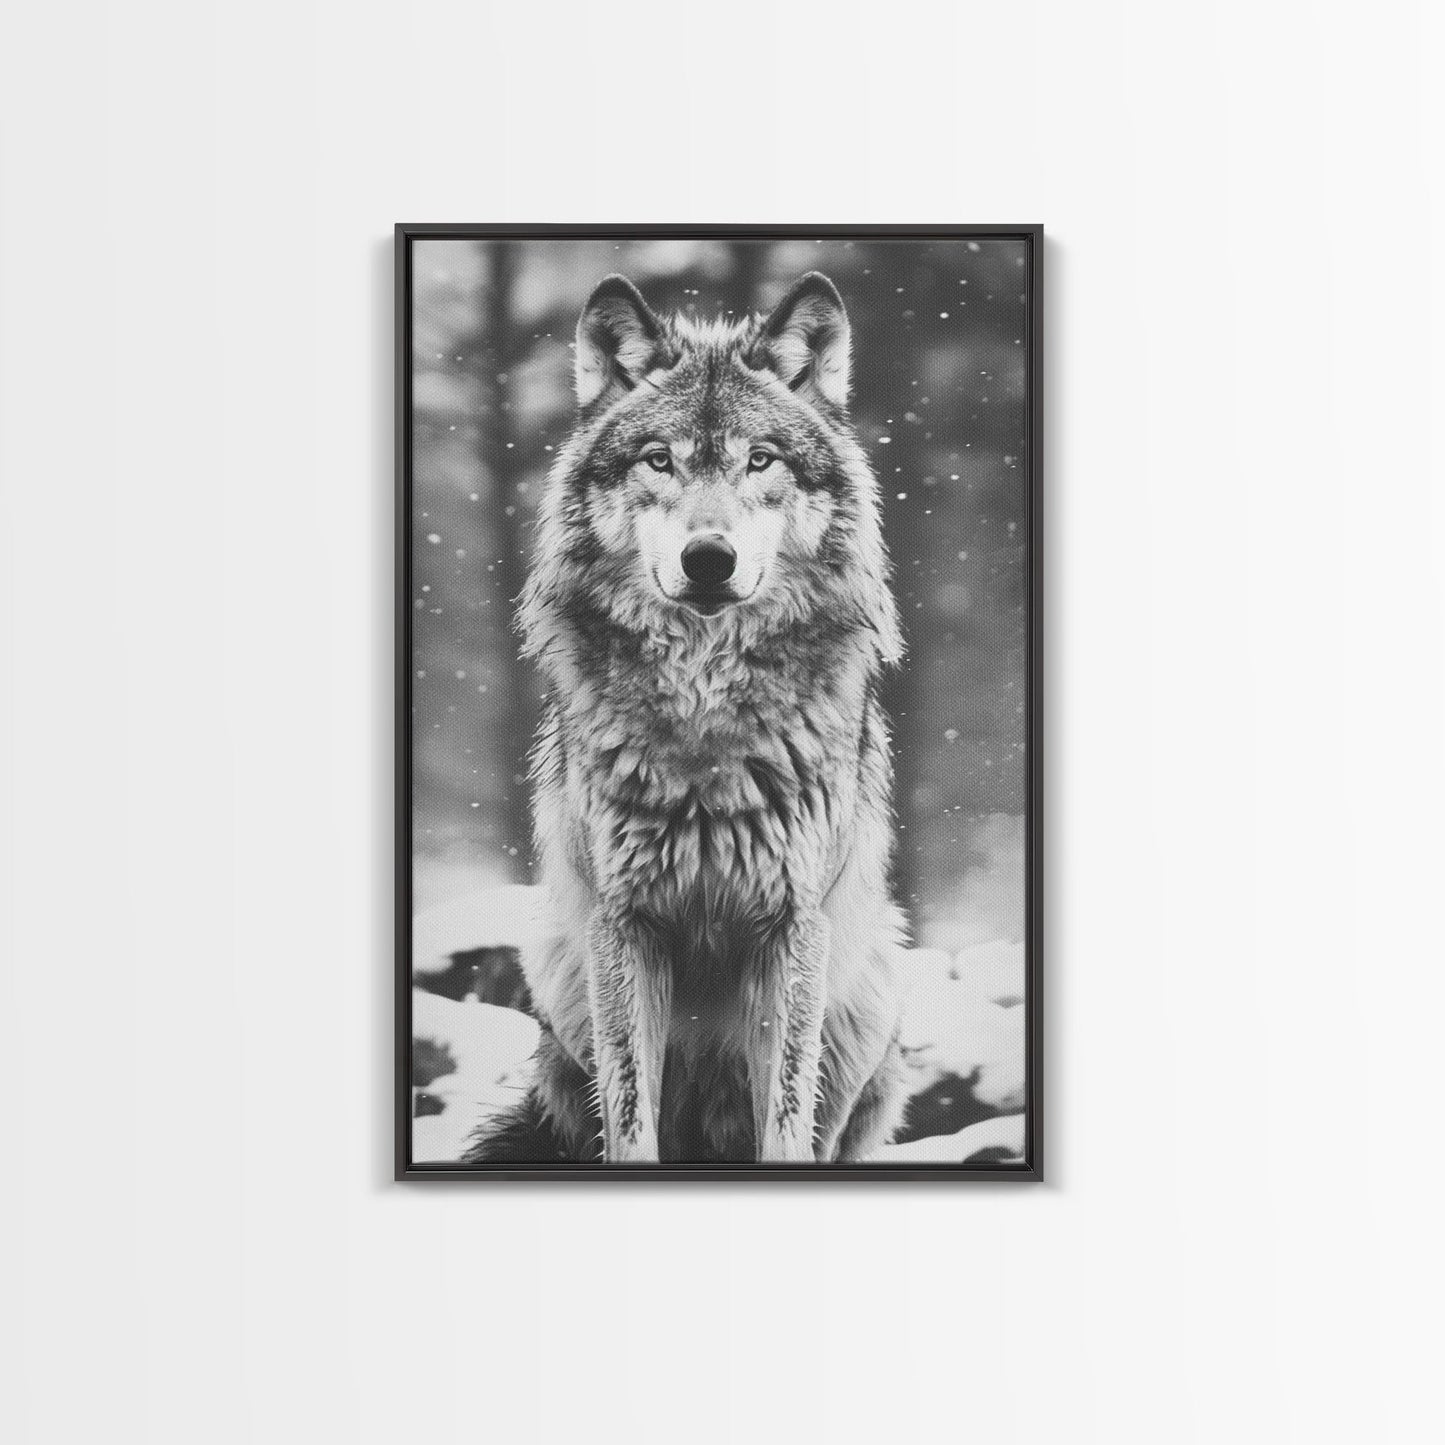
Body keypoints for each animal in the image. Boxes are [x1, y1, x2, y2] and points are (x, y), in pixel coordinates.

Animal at [466, 271, 908, 1164]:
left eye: (760, 459)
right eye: (659, 459)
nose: (709, 559)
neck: (706, 710)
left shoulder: (791, 926)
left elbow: (786, 1120)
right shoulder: (623, 924)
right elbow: (630, 1118)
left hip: (873, 978)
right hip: (558, 965)